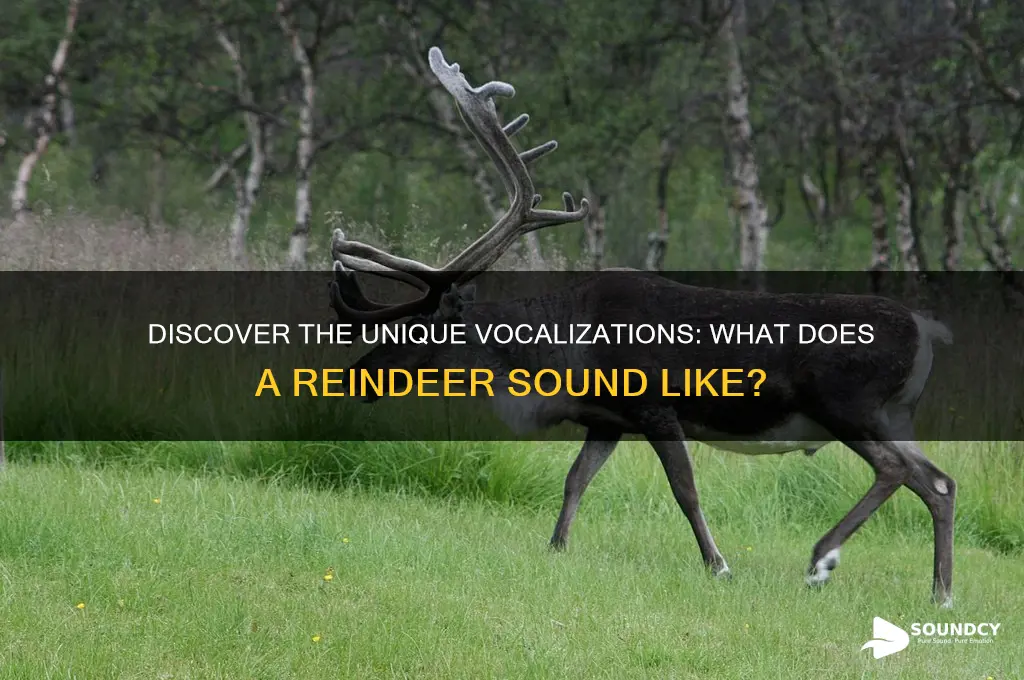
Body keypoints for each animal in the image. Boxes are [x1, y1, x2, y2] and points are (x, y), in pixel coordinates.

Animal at [327, 46, 958, 607]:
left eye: (419, 330)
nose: (355, 379)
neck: (561, 355)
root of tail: (928, 331)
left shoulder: (656, 407)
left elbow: (685, 489)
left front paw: (719, 565)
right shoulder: (606, 420)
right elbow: (575, 480)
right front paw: (556, 548)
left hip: (847, 404)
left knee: (897, 470)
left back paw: (822, 560)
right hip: (893, 414)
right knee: (939, 482)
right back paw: (941, 594)